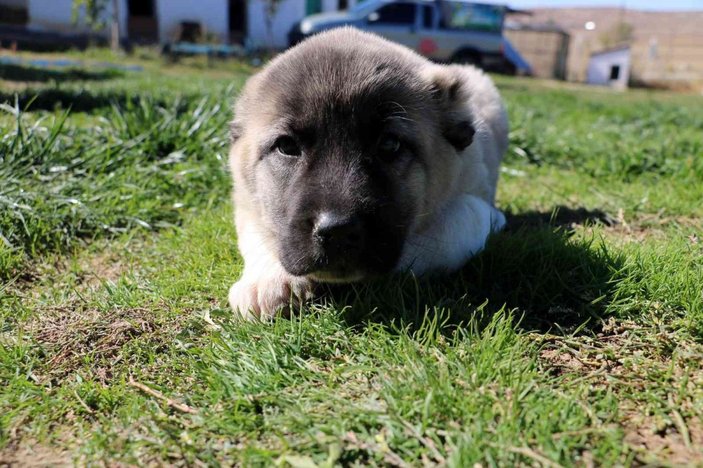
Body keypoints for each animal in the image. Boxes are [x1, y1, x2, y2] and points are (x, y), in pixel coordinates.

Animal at [228, 27, 508, 320]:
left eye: (389, 144)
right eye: (287, 146)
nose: (337, 231)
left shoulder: (479, 210)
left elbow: (447, 232)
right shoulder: (244, 200)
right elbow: (255, 230)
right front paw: (267, 280)